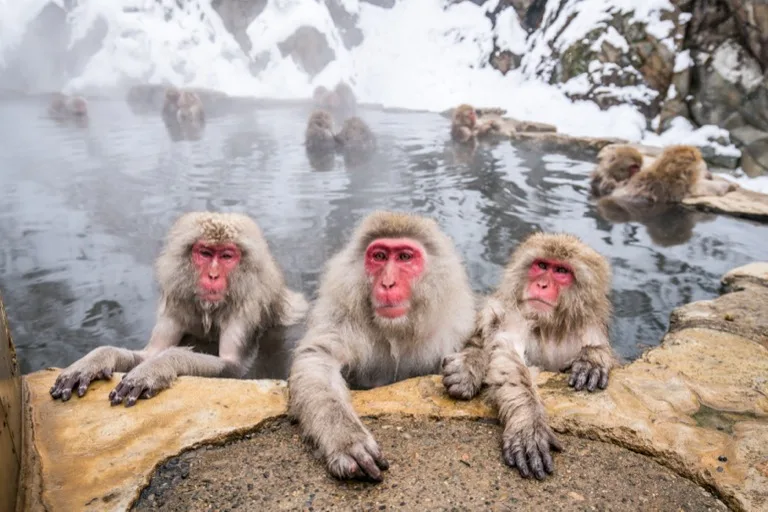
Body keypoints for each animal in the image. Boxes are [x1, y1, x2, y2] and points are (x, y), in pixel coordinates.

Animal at [49, 212, 309, 406]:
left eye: (227, 256)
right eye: (205, 253)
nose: (213, 276)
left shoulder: (246, 309)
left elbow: (235, 368)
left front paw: (157, 367)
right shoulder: (177, 303)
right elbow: (149, 352)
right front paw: (95, 360)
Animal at [288, 211, 476, 482]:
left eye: (405, 257)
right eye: (379, 256)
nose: (387, 284)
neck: (396, 330)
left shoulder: (456, 324)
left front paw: (468, 368)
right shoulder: (342, 316)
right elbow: (318, 358)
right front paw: (346, 439)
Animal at [442, 232, 616, 480]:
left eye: (561, 271)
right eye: (541, 266)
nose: (541, 284)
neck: (549, 327)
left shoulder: (588, 326)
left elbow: (597, 346)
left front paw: (592, 359)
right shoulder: (514, 315)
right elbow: (508, 356)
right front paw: (529, 424)